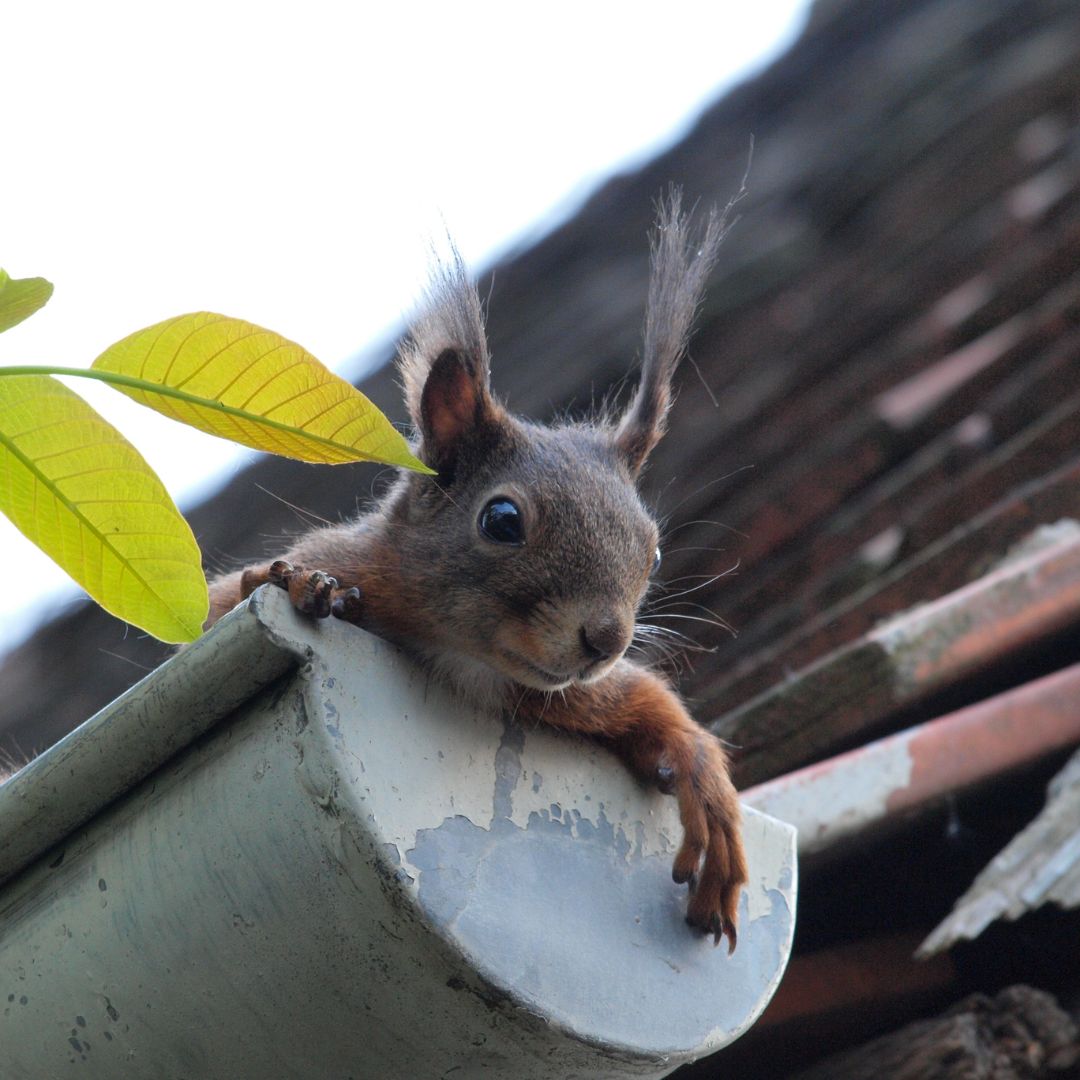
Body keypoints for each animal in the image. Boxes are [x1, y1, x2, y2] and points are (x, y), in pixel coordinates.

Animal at [208, 194, 751, 954]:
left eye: (655, 552)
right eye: (501, 519)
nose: (605, 641)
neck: (464, 656)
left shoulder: (564, 697)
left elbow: (650, 708)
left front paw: (705, 782)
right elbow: (231, 601)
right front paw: (298, 584)